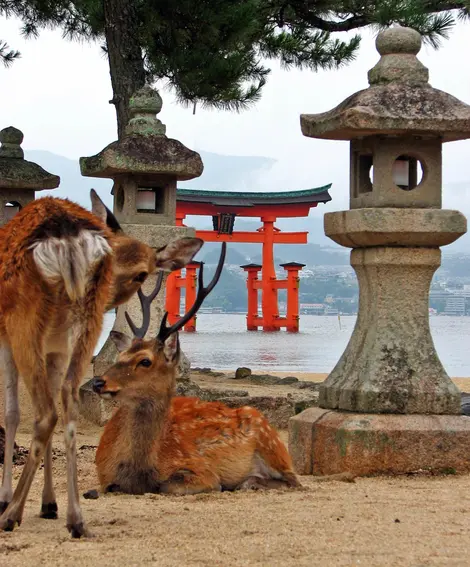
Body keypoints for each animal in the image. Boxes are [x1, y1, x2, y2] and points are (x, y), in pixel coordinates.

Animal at [0, 191, 202, 536]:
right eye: (114, 253)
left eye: (142, 273)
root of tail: (67, 239)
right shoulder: (57, 347)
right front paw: (48, 504)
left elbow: (11, 413)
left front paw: (8, 499)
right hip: (83, 325)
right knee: (67, 400)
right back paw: (75, 518)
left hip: (23, 320)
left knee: (46, 412)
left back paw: (12, 515)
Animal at [92, 245, 302, 496]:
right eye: (120, 356)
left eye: (145, 361)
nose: (98, 382)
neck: (137, 473)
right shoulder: (104, 476)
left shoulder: (202, 471)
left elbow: (168, 485)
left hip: (270, 439)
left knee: (294, 479)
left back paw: (249, 482)